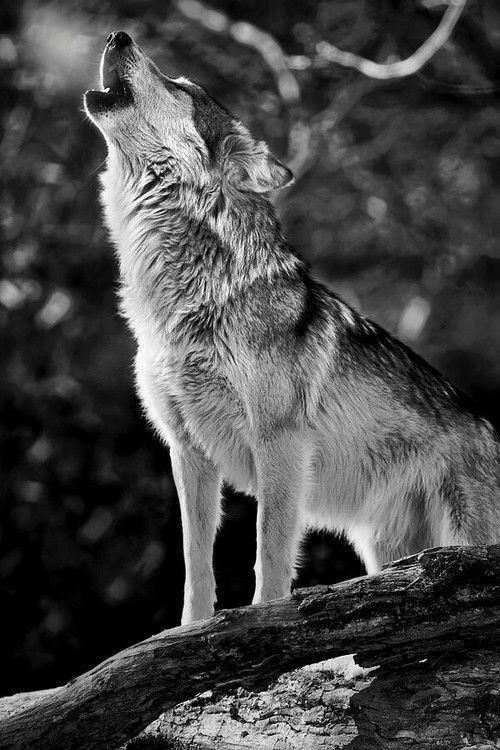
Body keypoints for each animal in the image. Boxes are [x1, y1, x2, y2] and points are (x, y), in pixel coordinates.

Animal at [84, 31, 500, 624]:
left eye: (181, 87)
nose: (119, 35)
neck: (188, 301)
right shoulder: (186, 449)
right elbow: (195, 561)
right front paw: (191, 632)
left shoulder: (279, 439)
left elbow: (270, 548)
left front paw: (266, 621)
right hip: (387, 553)